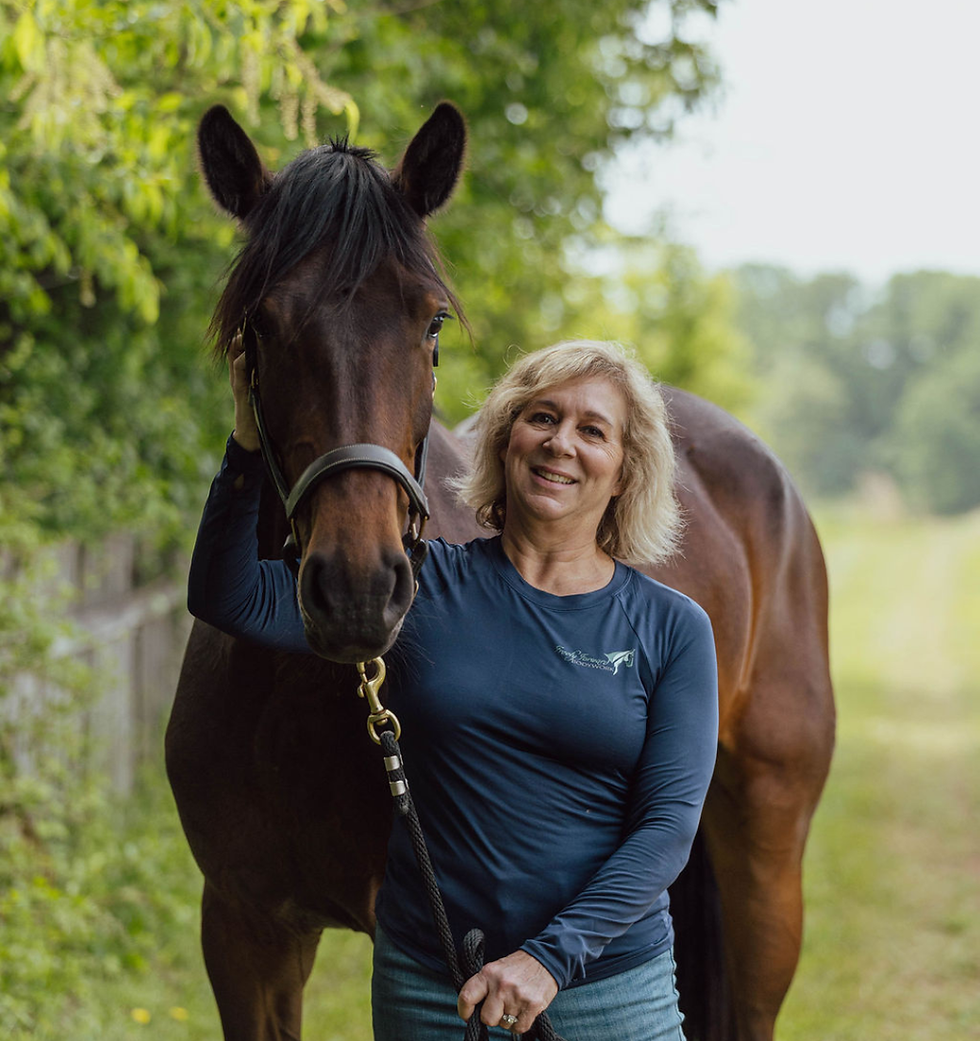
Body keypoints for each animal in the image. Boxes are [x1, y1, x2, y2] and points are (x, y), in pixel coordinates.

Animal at [166, 102, 834, 1041]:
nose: (358, 588)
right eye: (260, 322)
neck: (294, 699)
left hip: (766, 860)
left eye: (431, 321)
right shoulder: (245, 929)